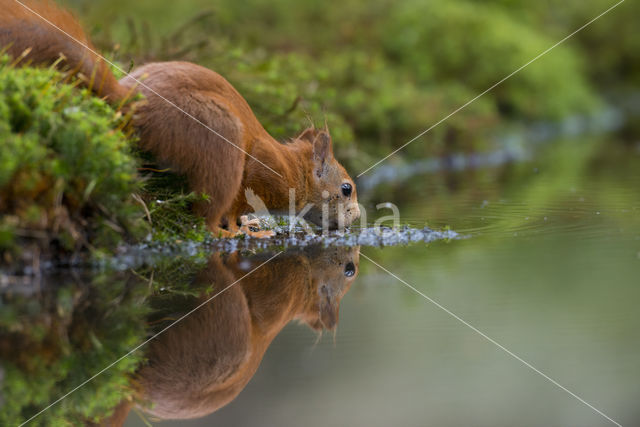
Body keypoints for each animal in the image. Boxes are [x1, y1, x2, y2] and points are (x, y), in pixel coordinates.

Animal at [0, 0, 360, 237]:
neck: (292, 169)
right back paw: (237, 233)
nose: (357, 219)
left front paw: (249, 221)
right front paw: (243, 226)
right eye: (346, 188)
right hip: (219, 144)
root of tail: (131, 105)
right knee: (208, 220)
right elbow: (234, 205)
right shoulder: (259, 171)